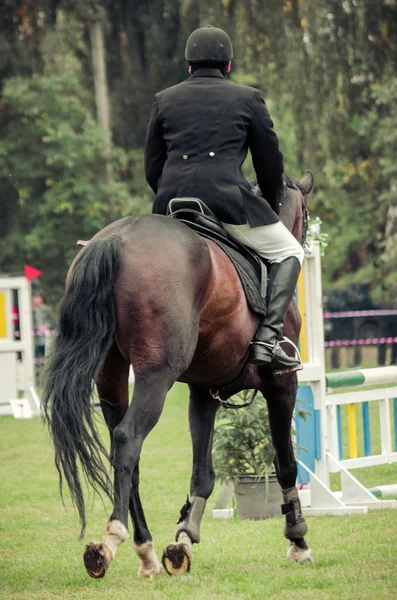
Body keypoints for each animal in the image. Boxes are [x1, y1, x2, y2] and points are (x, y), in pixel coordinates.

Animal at [41, 171, 314, 580]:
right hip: (156, 376)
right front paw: (298, 541)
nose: (304, 241)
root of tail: (115, 240)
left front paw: (183, 541)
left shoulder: (203, 392)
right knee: (128, 438)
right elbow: (285, 465)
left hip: (111, 376)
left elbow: (203, 473)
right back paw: (110, 542)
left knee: (126, 453)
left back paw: (148, 554)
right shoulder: (281, 383)